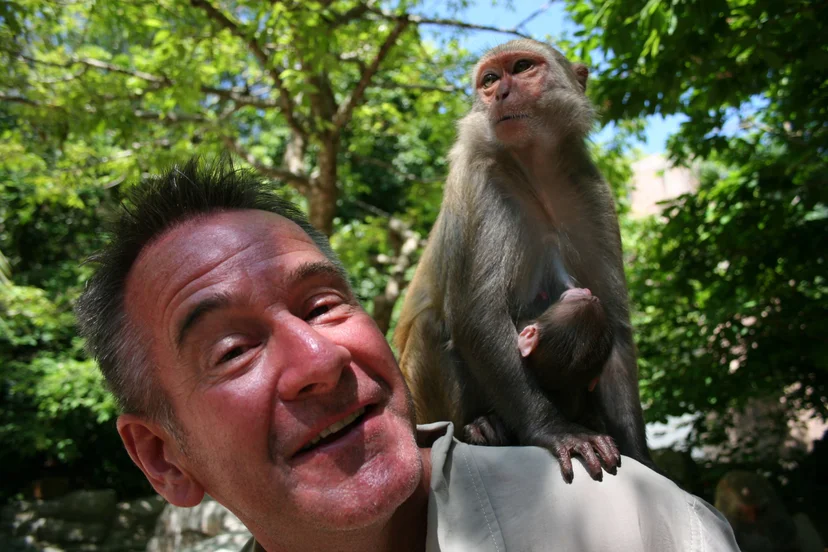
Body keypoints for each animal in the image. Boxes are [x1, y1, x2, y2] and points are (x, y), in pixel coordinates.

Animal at [394, 39, 655, 483]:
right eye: (489, 79)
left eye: (520, 67)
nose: (499, 93)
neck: (536, 171)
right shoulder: (481, 179)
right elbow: (476, 314)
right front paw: (556, 431)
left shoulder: (593, 192)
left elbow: (616, 328)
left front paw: (642, 458)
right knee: (432, 322)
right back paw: (480, 427)